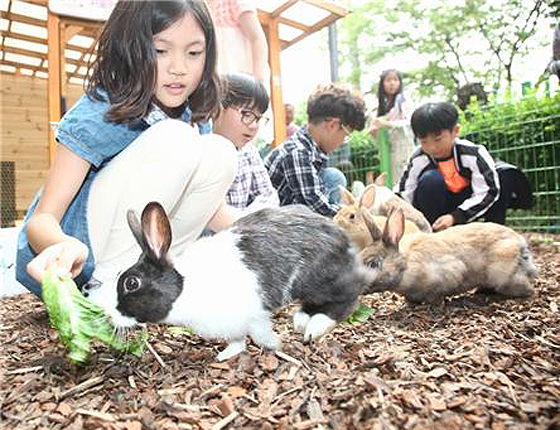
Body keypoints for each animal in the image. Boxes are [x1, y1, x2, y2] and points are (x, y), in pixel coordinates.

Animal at [109, 202, 374, 360]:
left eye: (131, 283)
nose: (109, 315)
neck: (185, 288)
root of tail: (342, 238)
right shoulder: (233, 325)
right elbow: (237, 341)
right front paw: (224, 356)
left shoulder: (253, 316)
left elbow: (259, 336)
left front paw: (277, 346)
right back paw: (301, 321)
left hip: (321, 279)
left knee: (347, 297)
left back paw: (314, 328)